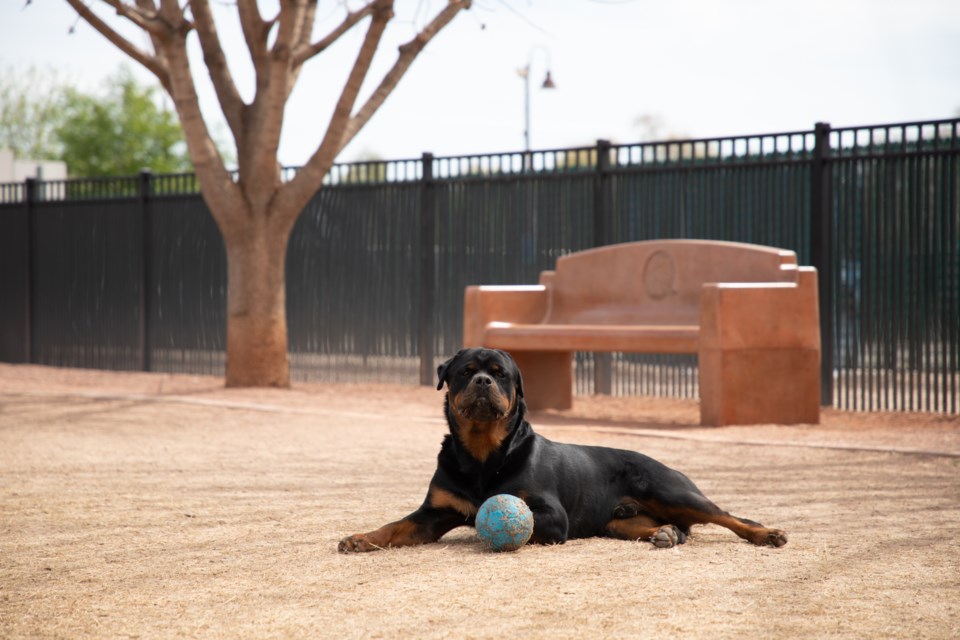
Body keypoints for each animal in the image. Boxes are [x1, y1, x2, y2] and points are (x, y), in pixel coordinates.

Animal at [338, 348, 788, 552]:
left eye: (500, 374)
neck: (482, 456)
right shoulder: (433, 513)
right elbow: (395, 527)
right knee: (653, 525)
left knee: (729, 516)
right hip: (616, 521)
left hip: (672, 490)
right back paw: (664, 533)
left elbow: (513, 521)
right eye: (464, 371)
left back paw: (766, 533)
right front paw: (360, 538)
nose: (483, 381)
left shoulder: (553, 517)